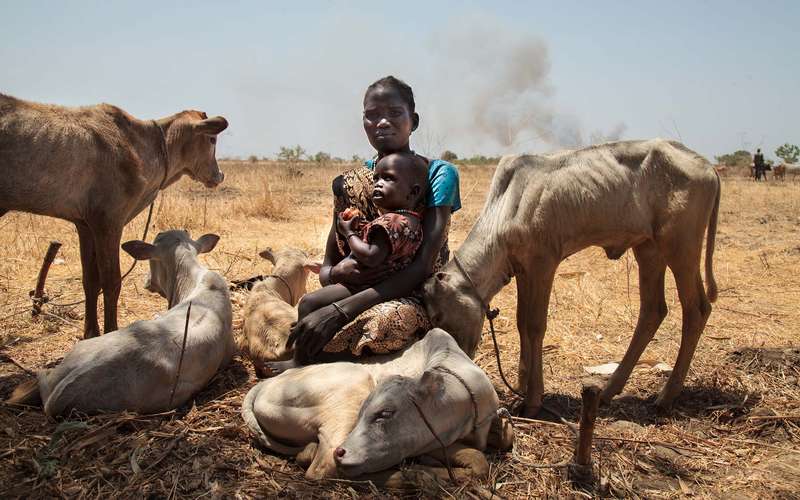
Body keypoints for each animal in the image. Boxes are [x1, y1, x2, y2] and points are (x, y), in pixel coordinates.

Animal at [0, 93, 228, 338]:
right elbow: (111, 281)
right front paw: (110, 330)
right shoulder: (108, 221)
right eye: (212, 140)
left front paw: (91, 332)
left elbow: (91, 280)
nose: (220, 174)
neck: (146, 147)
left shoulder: (85, 224)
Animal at [242, 328, 511, 481]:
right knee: (324, 467)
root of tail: (264, 386)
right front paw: (422, 473)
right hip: (349, 395)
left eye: (386, 413)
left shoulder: (431, 440)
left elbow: (483, 454)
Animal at [423, 139, 720, 417]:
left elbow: (534, 326)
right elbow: (521, 323)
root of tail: (708, 166)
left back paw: (666, 396)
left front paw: (533, 400)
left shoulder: (543, 263)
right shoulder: (522, 269)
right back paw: (609, 390)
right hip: (649, 249)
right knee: (653, 310)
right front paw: (520, 385)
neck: (507, 209)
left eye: (438, 317)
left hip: (680, 247)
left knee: (696, 310)